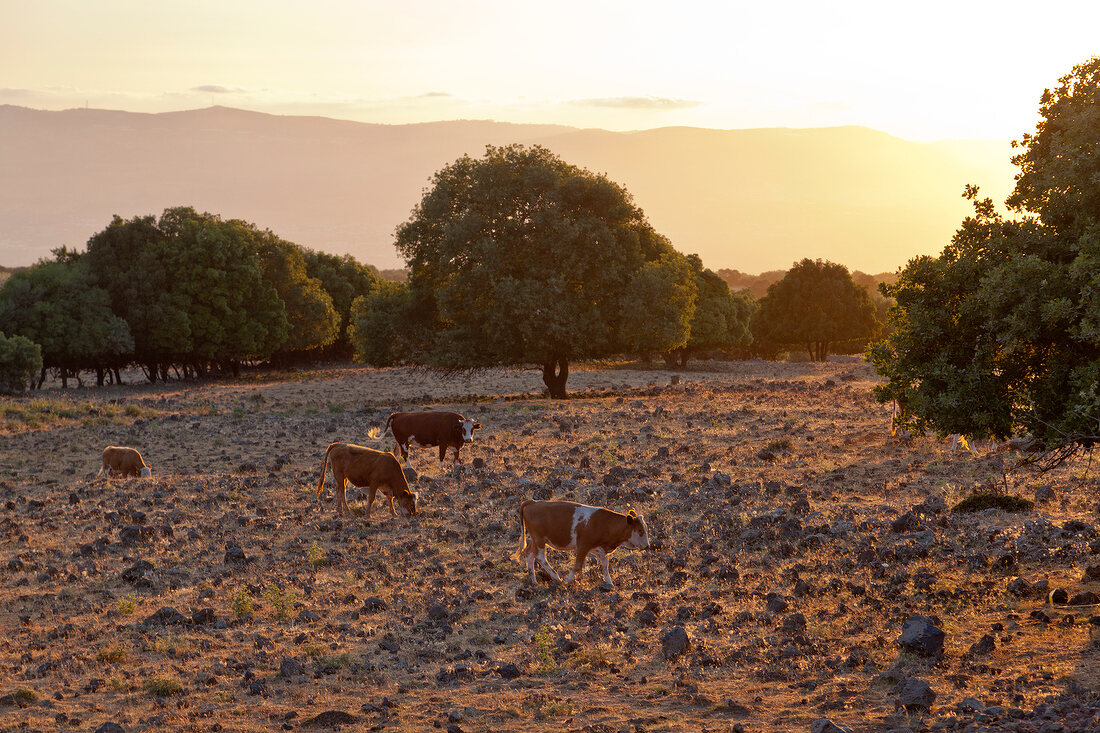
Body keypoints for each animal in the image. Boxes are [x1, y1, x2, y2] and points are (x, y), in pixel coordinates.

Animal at [512, 497, 642, 589]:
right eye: (640, 531)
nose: (646, 545)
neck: (603, 523)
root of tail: (532, 502)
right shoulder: (583, 546)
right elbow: (578, 566)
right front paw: (566, 581)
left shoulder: (599, 549)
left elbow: (605, 565)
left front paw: (609, 583)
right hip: (539, 540)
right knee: (540, 557)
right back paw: (556, 578)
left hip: (535, 541)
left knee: (529, 553)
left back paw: (534, 582)